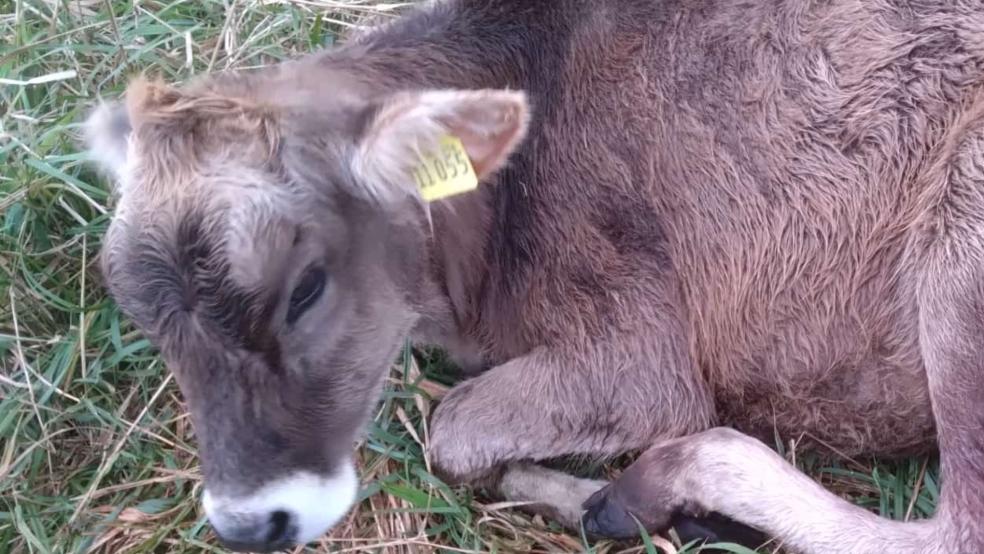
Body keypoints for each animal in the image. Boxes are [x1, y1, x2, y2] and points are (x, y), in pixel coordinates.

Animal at [84, 1, 984, 552]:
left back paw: (646, 490)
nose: (247, 522)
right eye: (139, 313)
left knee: (956, 528)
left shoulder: (637, 355)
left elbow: (453, 430)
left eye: (306, 285)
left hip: (962, 249)